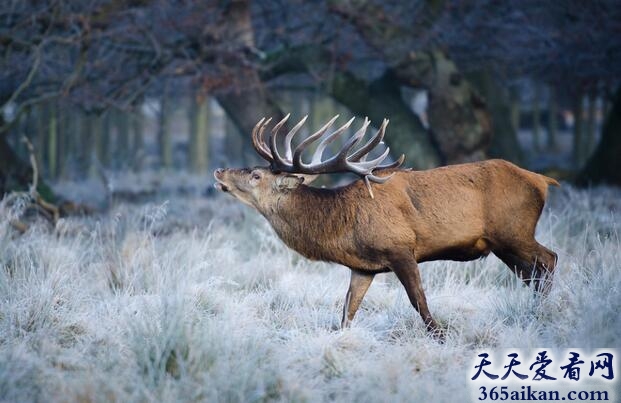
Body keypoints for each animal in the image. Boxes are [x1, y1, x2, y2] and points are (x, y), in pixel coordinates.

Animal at [212, 115, 556, 340]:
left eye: (256, 175)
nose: (219, 171)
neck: (342, 227)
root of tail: (543, 180)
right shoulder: (363, 267)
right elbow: (347, 311)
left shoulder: (401, 247)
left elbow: (419, 301)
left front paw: (441, 337)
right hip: (503, 245)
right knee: (532, 275)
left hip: (514, 232)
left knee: (548, 259)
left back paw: (546, 313)